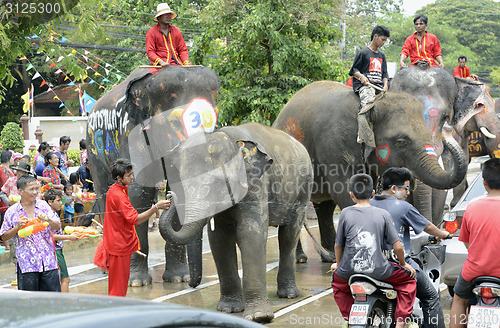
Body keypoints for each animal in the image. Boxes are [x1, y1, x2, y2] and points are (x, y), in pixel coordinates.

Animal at [87, 66, 219, 288]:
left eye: (215, 120)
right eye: (174, 122)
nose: (192, 284)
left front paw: (178, 278)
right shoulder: (129, 131)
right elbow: (139, 194)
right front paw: (136, 283)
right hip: (93, 152)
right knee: (104, 193)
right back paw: (107, 269)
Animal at [158, 121, 312, 322]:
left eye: (217, 184)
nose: (168, 196)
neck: (228, 138)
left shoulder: (256, 182)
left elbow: (250, 232)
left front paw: (259, 317)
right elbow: (219, 239)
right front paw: (228, 309)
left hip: (304, 188)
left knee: (289, 235)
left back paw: (288, 295)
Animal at [272, 81, 466, 262]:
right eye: (401, 141)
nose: (448, 129)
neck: (370, 105)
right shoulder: (333, 148)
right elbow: (347, 193)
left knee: (325, 207)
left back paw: (330, 257)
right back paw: (302, 258)